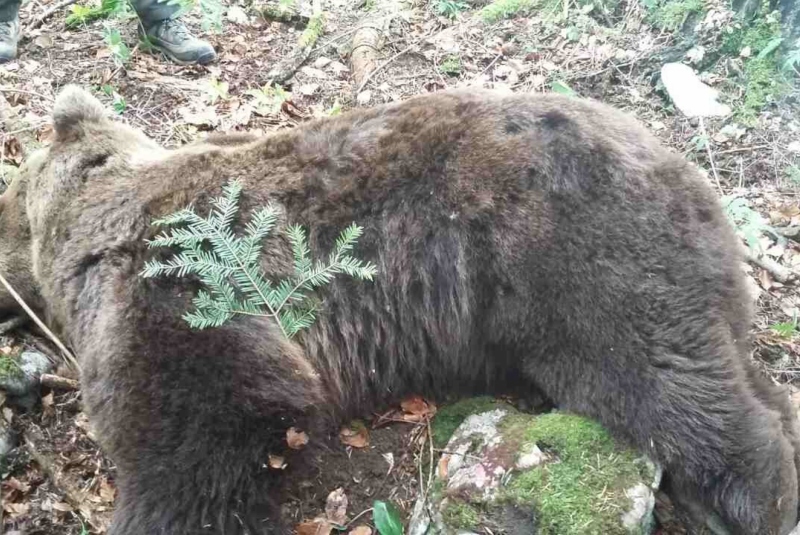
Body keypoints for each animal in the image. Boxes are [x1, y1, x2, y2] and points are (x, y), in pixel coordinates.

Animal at [0, 87, 796, 535]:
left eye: (5, 198)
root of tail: (691, 177)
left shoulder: (189, 277)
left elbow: (200, 413)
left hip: (575, 255)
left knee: (662, 385)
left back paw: (751, 500)